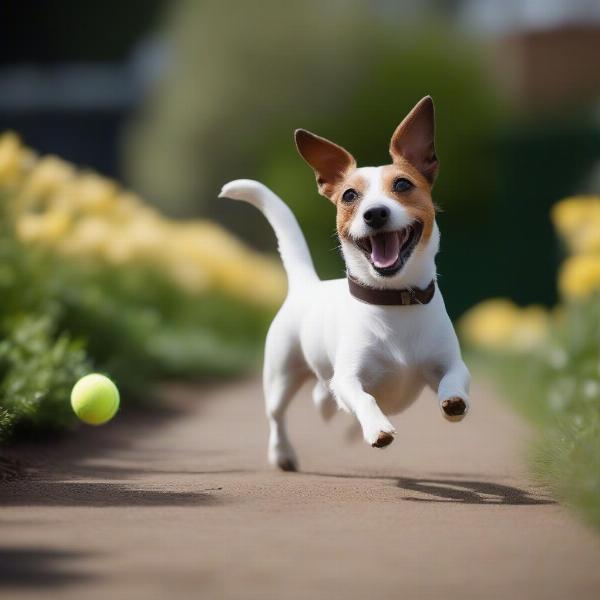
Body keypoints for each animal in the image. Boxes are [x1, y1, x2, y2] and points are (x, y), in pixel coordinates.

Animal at [218, 96, 472, 472]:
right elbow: (363, 397)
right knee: (279, 415)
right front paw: (377, 427)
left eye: (402, 185)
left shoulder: (449, 362)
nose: (375, 213)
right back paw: (282, 453)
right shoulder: (350, 376)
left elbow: (454, 378)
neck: (394, 298)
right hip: (280, 376)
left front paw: (454, 401)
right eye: (350, 195)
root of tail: (306, 284)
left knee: (323, 396)